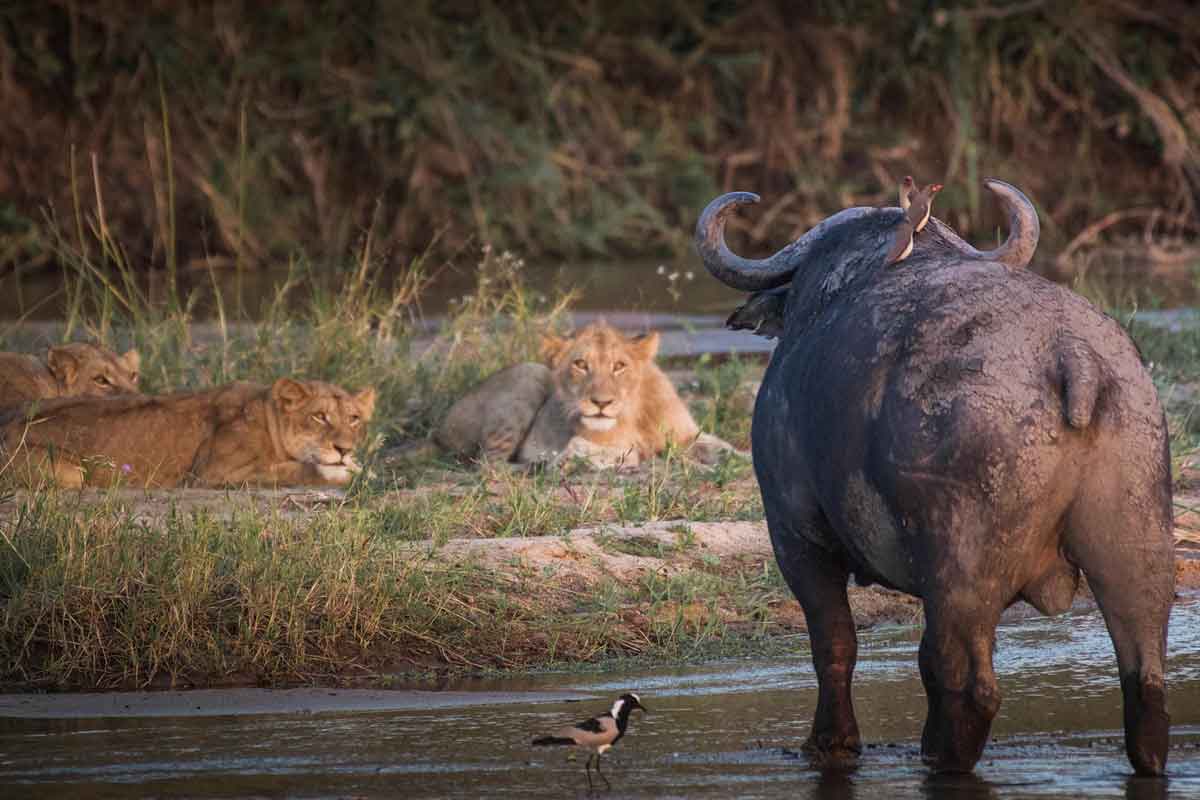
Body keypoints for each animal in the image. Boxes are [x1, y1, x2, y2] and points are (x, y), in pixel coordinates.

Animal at [0, 381, 374, 491]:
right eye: (319, 416)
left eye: (354, 419)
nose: (344, 448)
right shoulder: (215, 473)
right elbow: (302, 469)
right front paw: (345, 472)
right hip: (70, 473)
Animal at [436, 321, 734, 470]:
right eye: (580, 364)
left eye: (619, 366)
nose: (601, 403)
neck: (634, 412)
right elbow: (610, 450)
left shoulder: (687, 435)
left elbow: (725, 448)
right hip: (531, 374)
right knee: (489, 464)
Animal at [696, 179, 1171, 777]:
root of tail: (1073, 355)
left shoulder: (796, 534)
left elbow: (835, 643)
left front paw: (831, 743)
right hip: (1136, 540)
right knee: (1145, 676)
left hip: (960, 565)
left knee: (970, 680)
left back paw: (942, 759)